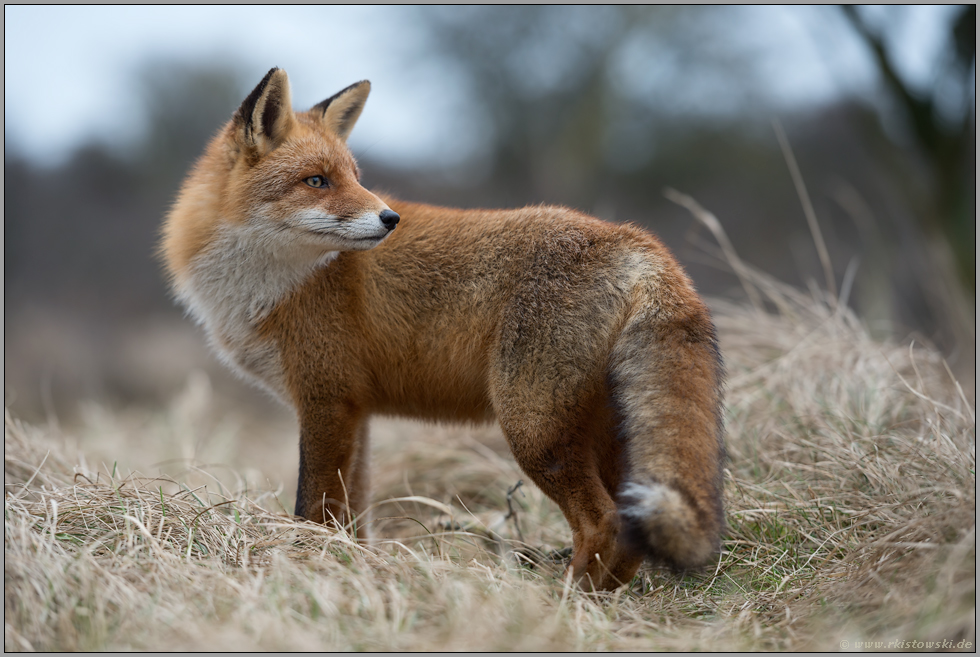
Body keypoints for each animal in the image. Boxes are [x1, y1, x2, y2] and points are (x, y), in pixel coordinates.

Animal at [163, 68, 728, 588]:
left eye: (354, 176)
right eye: (317, 181)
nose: (389, 219)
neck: (274, 283)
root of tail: (637, 240)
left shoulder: (325, 399)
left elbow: (313, 507)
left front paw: (310, 564)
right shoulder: (355, 410)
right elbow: (353, 516)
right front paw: (354, 568)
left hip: (533, 430)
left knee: (603, 523)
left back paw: (566, 603)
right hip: (602, 434)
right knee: (627, 527)